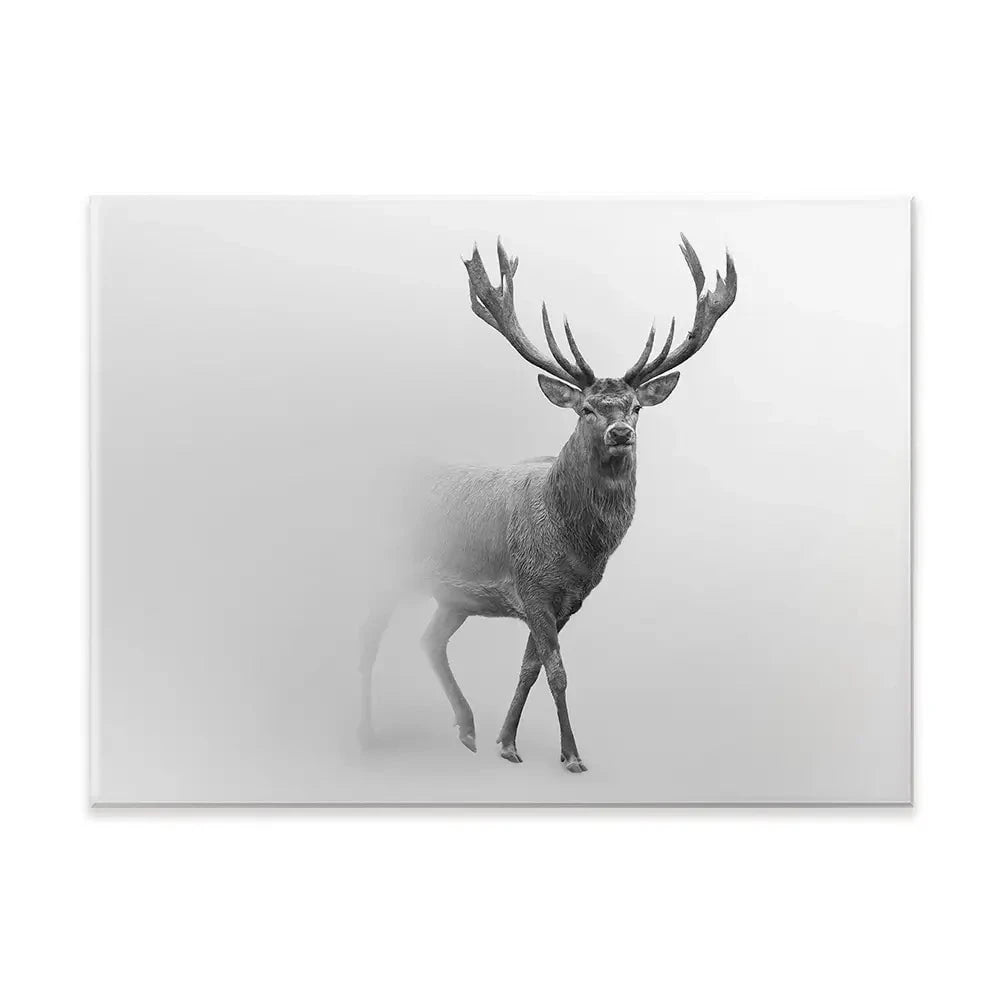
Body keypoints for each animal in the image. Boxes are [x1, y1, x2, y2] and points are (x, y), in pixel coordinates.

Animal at [358, 234, 737, 772]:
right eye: (586, 408)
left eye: (635, 407)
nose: (620, 433)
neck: (576, 546)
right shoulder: (532, 586)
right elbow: (556, 672)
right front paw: (572, 755)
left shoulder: (567, 602)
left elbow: (529, 668)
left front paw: (506, 741)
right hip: (386, 568)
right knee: (368, 638)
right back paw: (368, 733)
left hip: (453, 597)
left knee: (428, 640)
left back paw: (467, 730)